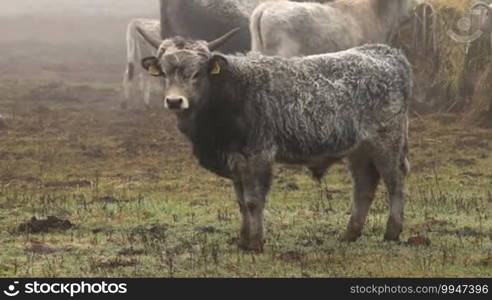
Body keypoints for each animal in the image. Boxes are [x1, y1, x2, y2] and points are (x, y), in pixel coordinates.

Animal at [136, 28, 414, 252]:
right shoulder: (236, 162)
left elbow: (253, 201)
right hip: (359, 150)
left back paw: (392, 231)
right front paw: (243, 241)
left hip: (387, 142)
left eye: (196, 74)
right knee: (364, 185)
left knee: (395, 181)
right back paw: (350, 234)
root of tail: (386, 53)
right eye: (165, 73)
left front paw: (256, 243)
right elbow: (241, 203)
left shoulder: (258, 156)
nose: (174, 101)